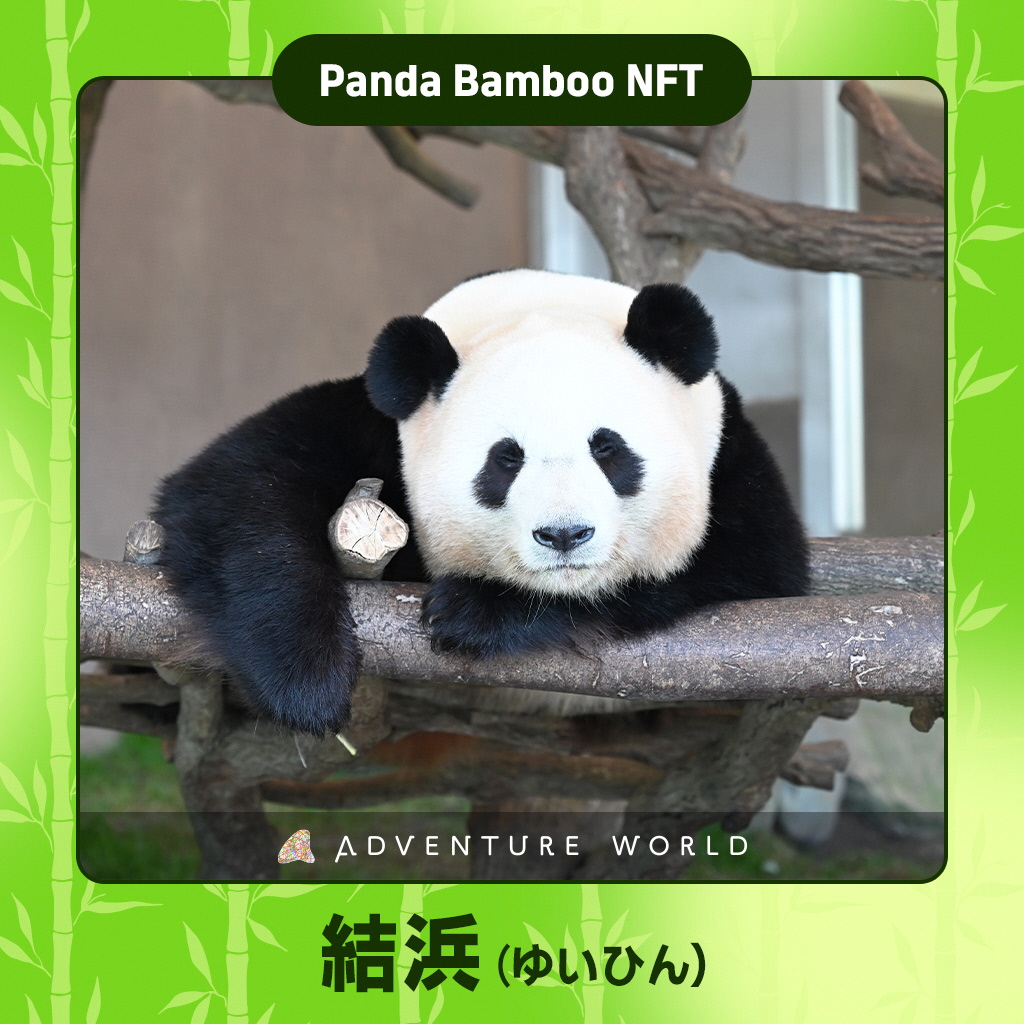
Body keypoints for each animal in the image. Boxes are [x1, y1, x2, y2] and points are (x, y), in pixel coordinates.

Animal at [153, 269, 809, 736]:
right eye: (505, 460)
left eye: (608, 449)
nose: (564, 536)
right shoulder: (380, 426)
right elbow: (239, 486)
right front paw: (305, 680)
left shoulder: (730, 458)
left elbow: (753, 567)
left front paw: (477, 611)